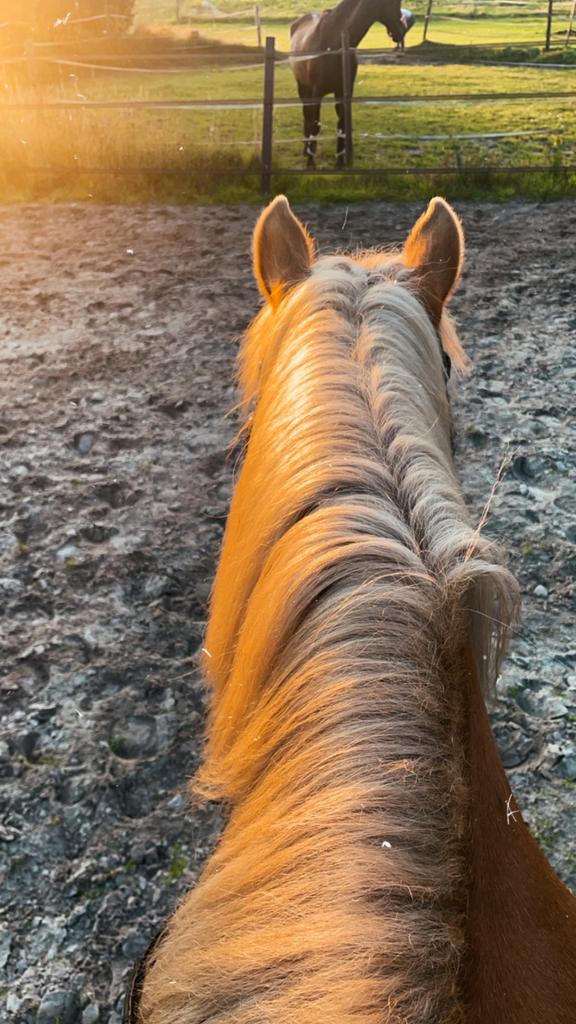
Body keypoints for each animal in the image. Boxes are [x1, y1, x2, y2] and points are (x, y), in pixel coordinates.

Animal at [289, 0, 406, 168]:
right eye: (394, 3)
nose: (402, 31)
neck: (334, 43)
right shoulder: (317, 93)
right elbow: (315, 124)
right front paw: (311, 162)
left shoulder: (344, 92)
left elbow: (342, 125)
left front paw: (340, 161)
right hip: (303, 87)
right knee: (307, 116)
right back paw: (307, 150)